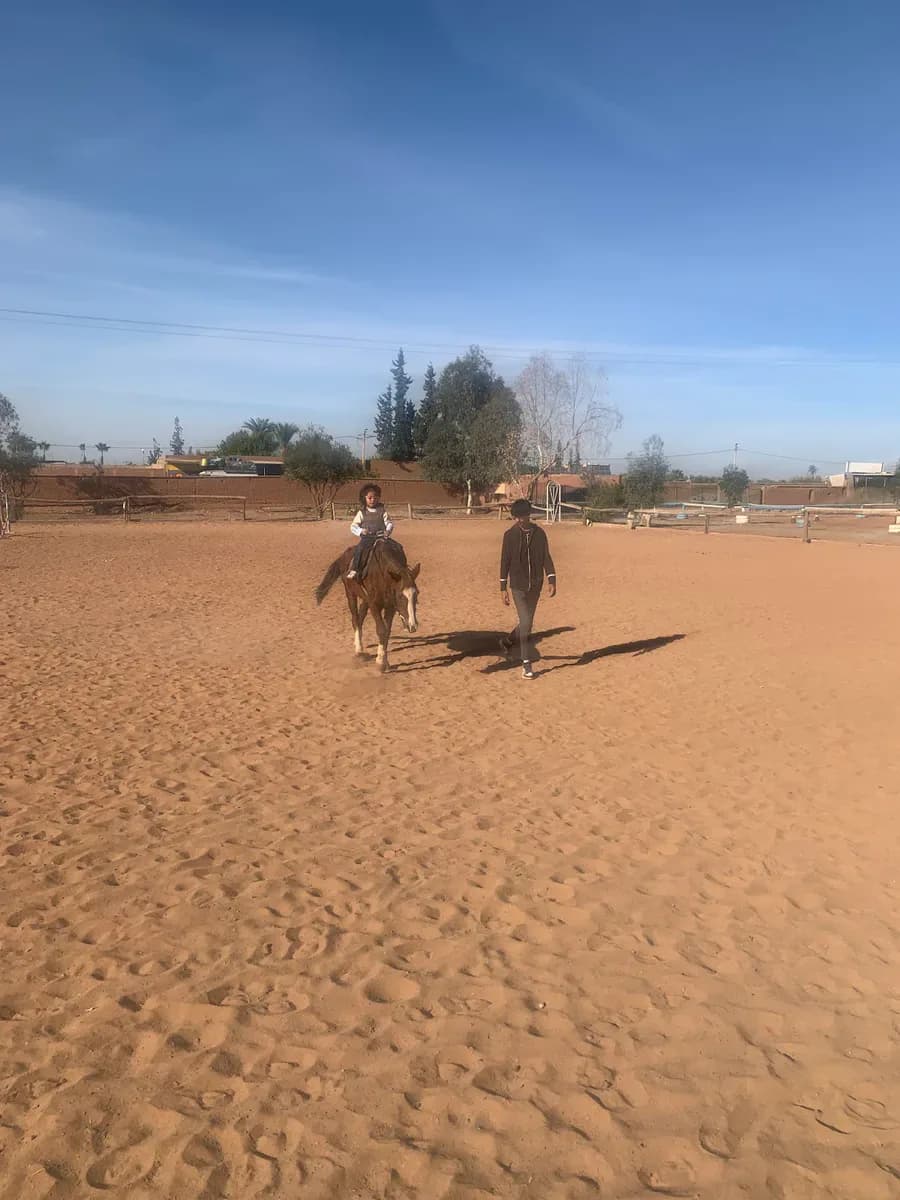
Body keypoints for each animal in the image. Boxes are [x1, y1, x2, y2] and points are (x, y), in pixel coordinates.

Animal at [315, 538, 420, 671]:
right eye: (401, 596)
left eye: (417, 593)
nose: (413, 626)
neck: (382, 572)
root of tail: (344, 555)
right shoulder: (374, 604)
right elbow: (381, 630)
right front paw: (381, 664)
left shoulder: (390, 606)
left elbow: (387, 631)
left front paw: (384, 661)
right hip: (351, 593)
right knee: (355, 619)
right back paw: (359, 651)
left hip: (365, 599)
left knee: (360, 618)